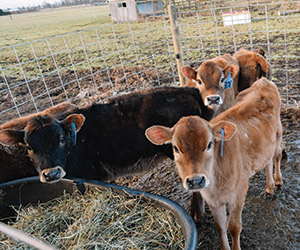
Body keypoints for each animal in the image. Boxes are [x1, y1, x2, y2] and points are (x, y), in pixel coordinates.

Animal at [146, 77, 282, 249]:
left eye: (210, 144)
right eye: (176, 148)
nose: (196, 180)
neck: (216, 183)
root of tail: (264, 81)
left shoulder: (239, 191)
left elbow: (234, 227)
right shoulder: (213, 200)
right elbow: (220, 227)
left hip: (278, 133)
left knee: (277, 156)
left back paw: (277, 182)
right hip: (266, 144)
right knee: (268, 161)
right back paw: (269, 188)